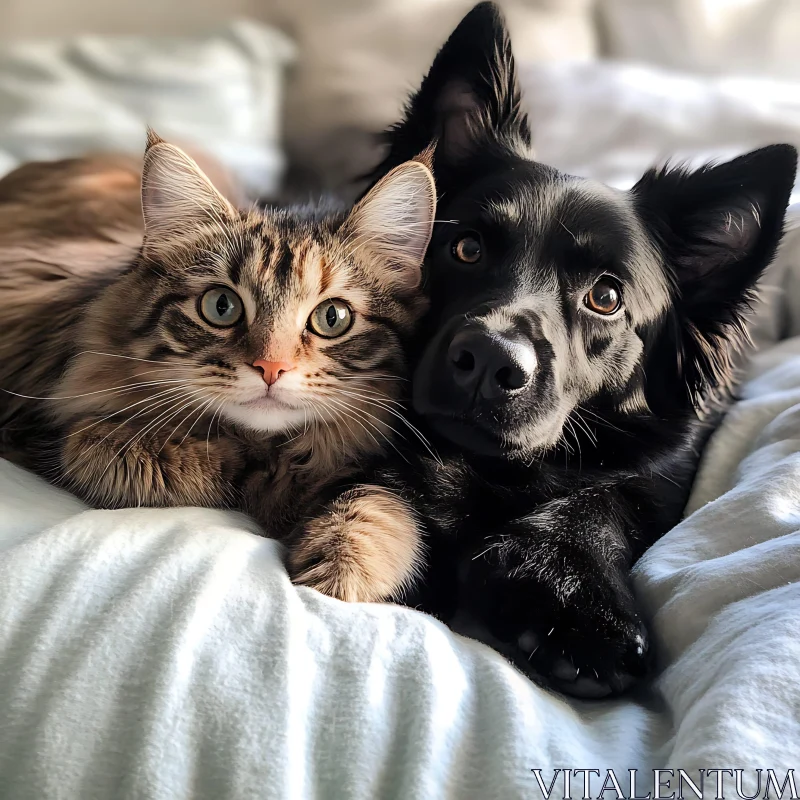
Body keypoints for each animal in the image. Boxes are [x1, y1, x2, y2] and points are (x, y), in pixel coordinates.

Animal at [0, 133, 438, 592]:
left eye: (332, 317)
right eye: (221, 306)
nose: (270, 368)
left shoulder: (371, 472)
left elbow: (379, 507)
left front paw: (338, 576)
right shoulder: (53, 436)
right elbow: (109, 449)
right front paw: (232, 468)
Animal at [290, 3, 796, 696]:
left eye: (606, 296)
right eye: (466, 248)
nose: (489, 360)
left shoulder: (671, 465)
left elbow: (609, 497)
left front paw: (567, 590)